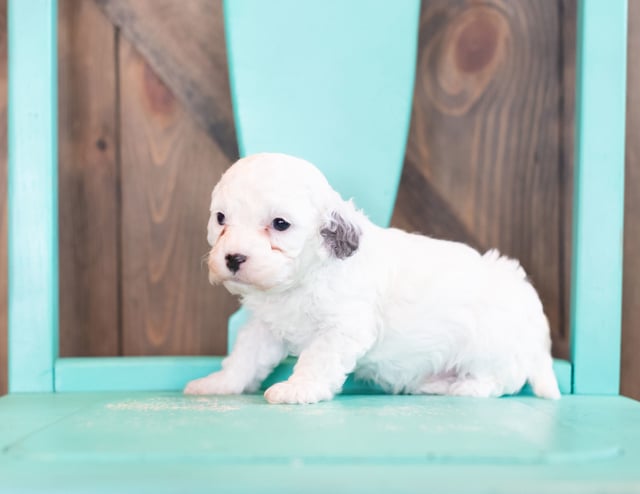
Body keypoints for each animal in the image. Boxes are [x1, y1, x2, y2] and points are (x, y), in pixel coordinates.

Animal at [185, 152, 560, 404]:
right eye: (221, 218)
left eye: (280, 224)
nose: (233, 258)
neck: (304, 279)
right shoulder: (265, 328)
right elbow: (244, 358)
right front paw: (218, 383)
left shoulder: (343, 329)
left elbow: (317, 360)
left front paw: (297, 388)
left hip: (491, 350)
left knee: (496, 382)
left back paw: (462, 387)